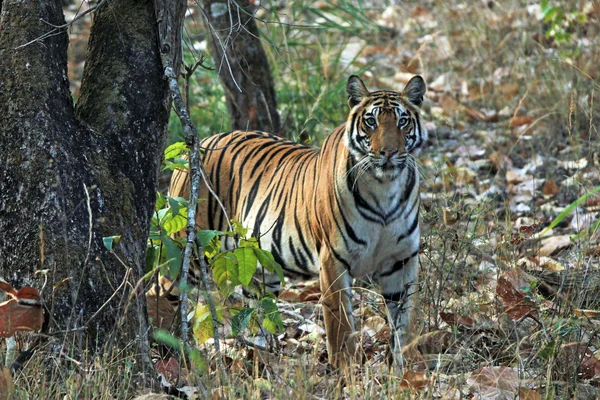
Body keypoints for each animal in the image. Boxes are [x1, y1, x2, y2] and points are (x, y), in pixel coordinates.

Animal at [170, 73, 426, 368]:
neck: (385, 188)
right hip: (188, 257)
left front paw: (408, 368)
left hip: (260, 272)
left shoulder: (401, 259)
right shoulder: (333, 260)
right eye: (371, 121)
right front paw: (345, 369)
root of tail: (195, 146)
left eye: (402, 121)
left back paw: (262, 360)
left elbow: (406, 319)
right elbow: (340, 325)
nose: (389, 152)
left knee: (256, 316)